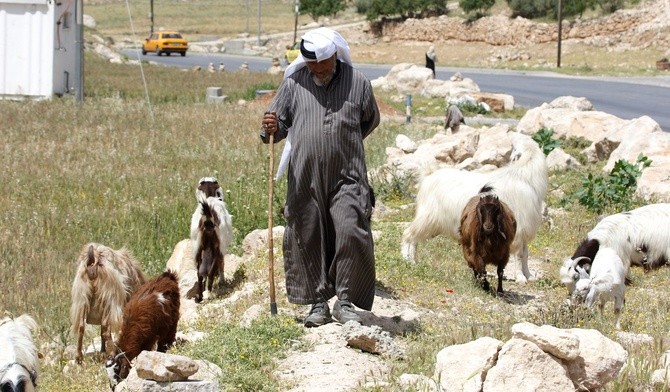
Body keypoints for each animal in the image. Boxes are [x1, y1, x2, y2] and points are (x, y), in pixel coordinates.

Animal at [402, 132, 548, 282]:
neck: (522, 177)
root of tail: (429, 175)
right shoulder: (518, 230)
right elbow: (519, 255)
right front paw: (521, 278)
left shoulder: (525, 231)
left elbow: (525, 254)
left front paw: (530, 276)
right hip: (427, 217)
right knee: (408, 234)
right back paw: (408, 261)